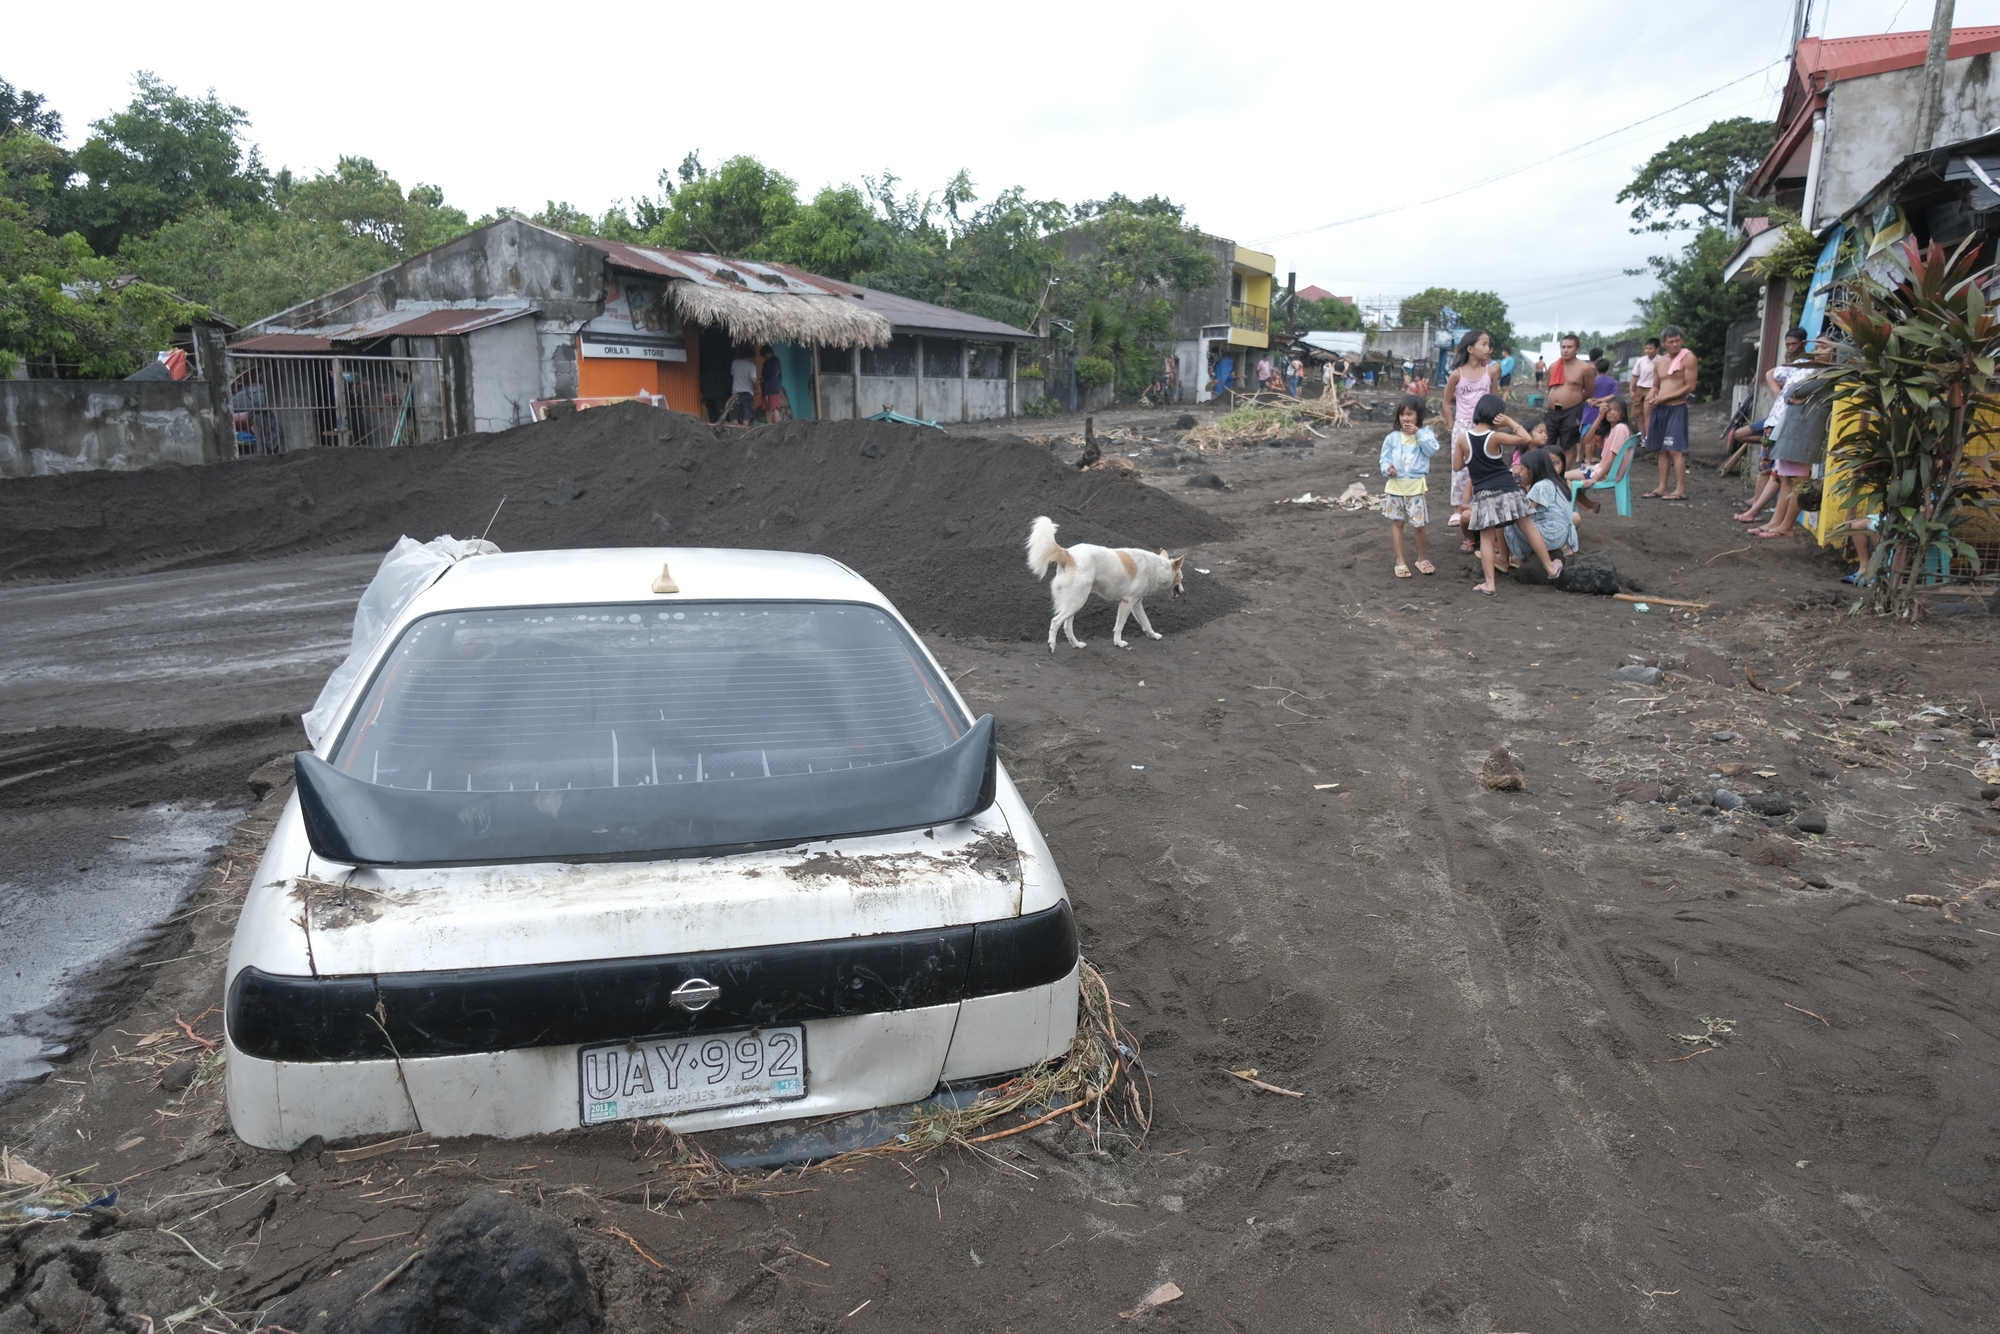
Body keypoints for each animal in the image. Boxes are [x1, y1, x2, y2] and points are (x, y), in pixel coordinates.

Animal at [1024, 516, 1176, 652]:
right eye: (1179, 577)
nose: (1180, 591)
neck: (1154, 566)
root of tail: (1067, 553)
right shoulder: (1127, 603)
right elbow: (1119, 626)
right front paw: (1118, 643)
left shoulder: (1137, 603)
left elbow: (1146, 622)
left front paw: (1153, 635)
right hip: (1077, 602)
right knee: (1055, 622)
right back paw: (1051, 646)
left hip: (1073, 603)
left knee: (1067, 627)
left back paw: (1076, 644)